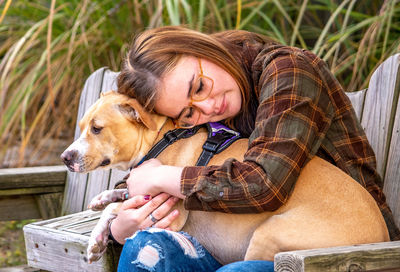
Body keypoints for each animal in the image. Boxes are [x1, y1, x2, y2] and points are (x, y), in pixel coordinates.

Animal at [61, 90, 390, 264]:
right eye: (82, 126)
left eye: (97, 129)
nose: (65, 157)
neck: (160, 136)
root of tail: (383, 238)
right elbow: (117, 198)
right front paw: (102, 196)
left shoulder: (169, 210)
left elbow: (115, 210)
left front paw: (97, 239)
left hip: (268, 237)